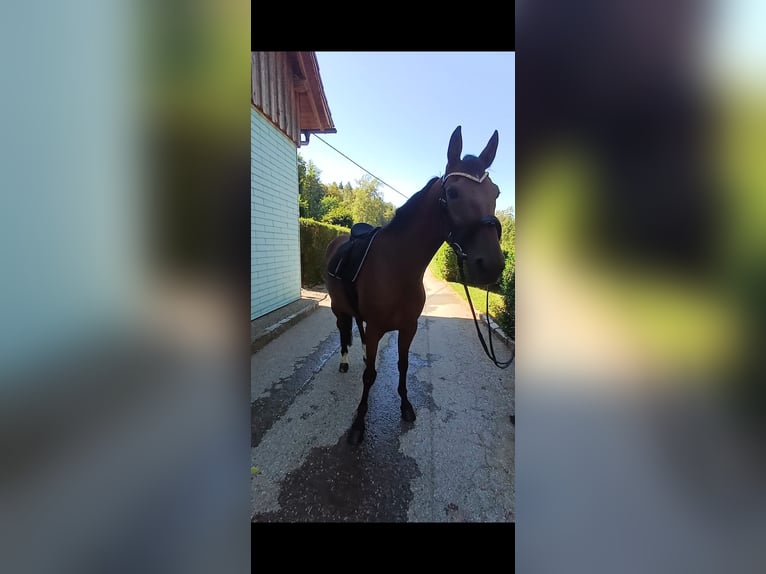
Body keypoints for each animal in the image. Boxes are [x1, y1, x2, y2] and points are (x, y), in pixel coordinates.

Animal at [324, 126, 506, 445]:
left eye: (495, 192)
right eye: (452, 192)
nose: (492, 265)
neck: (397, 266)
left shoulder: (409, 328)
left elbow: (403, 365)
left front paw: (406, 406)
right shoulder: (378, 329)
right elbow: (370, 375)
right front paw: (359, 423)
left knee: (357, 329)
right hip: (338, 308)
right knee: (344, 330)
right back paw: (345, 361)